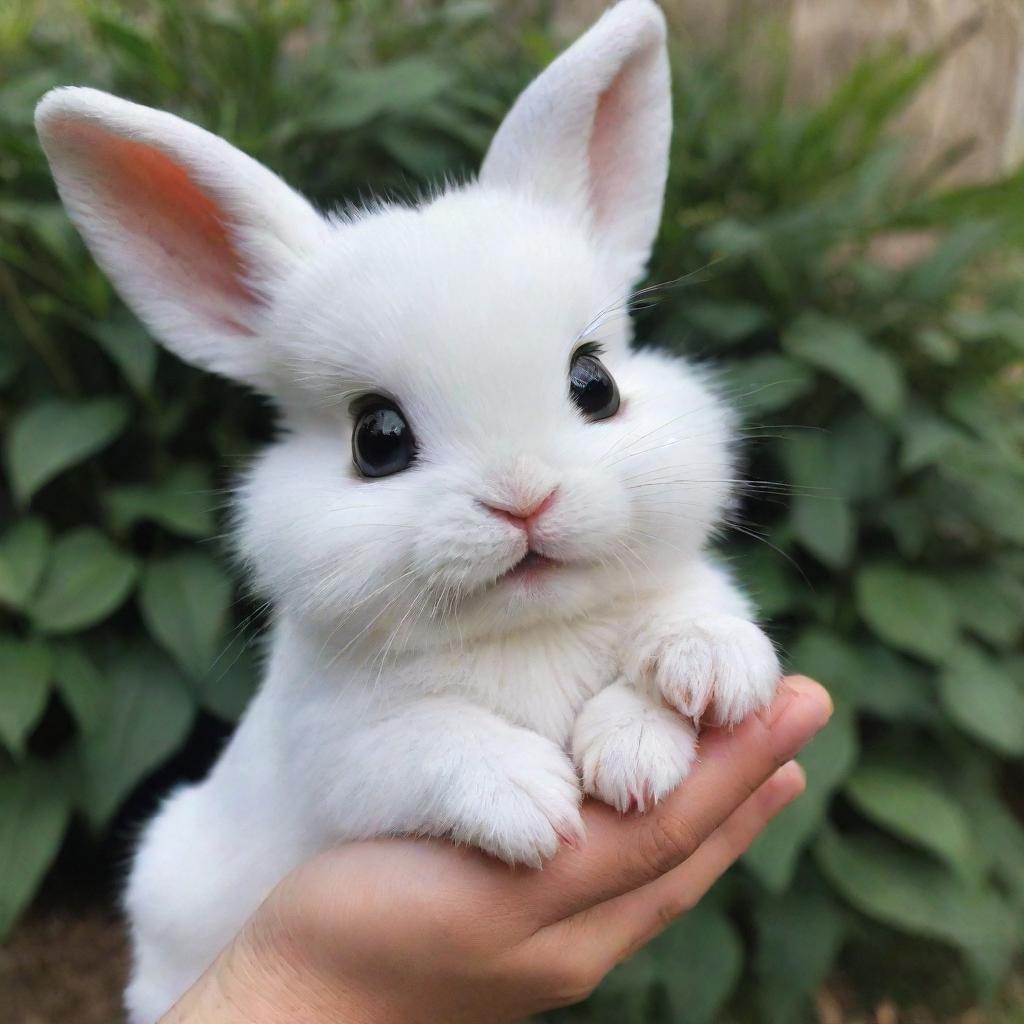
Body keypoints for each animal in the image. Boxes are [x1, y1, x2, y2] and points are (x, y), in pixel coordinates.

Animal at [37, 0, 774, 1015]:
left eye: (595, 384)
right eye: (376, 439)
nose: (523, 499)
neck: (526, 629)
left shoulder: (694, 591)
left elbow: (700, 627)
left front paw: (659, 722)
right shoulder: (344, 757)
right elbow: (432, 742)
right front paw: (531, 798)